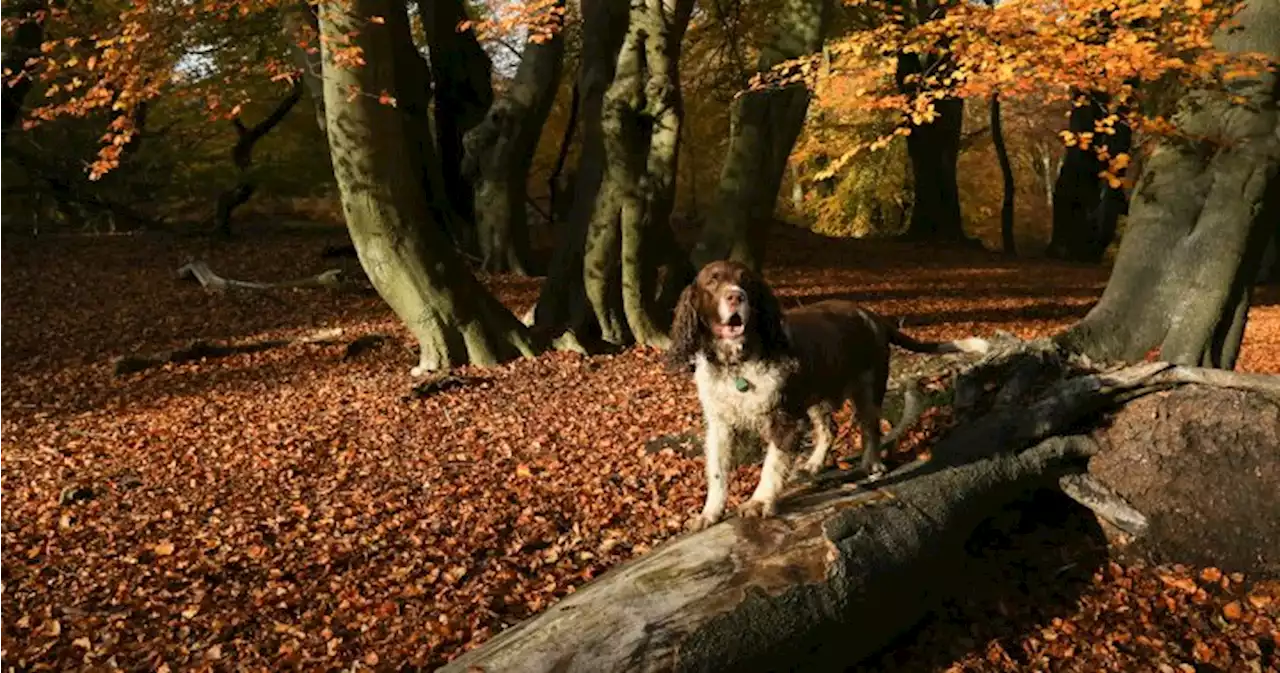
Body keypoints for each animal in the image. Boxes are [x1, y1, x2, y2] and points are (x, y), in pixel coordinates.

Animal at [670, 262, 988, 532]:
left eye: (746, 281)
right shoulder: (720, 425)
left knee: (870, 428)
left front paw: (759, 502)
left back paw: (872, 464)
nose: (736, 296)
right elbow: (718, 472)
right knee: (829, 429)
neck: (736, 363)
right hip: (816, 395)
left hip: (867, 388)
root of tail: (872, 316)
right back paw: (814, 463)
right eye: (713, 281)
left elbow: (771, 465)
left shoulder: (785, 420)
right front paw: (709, 514)